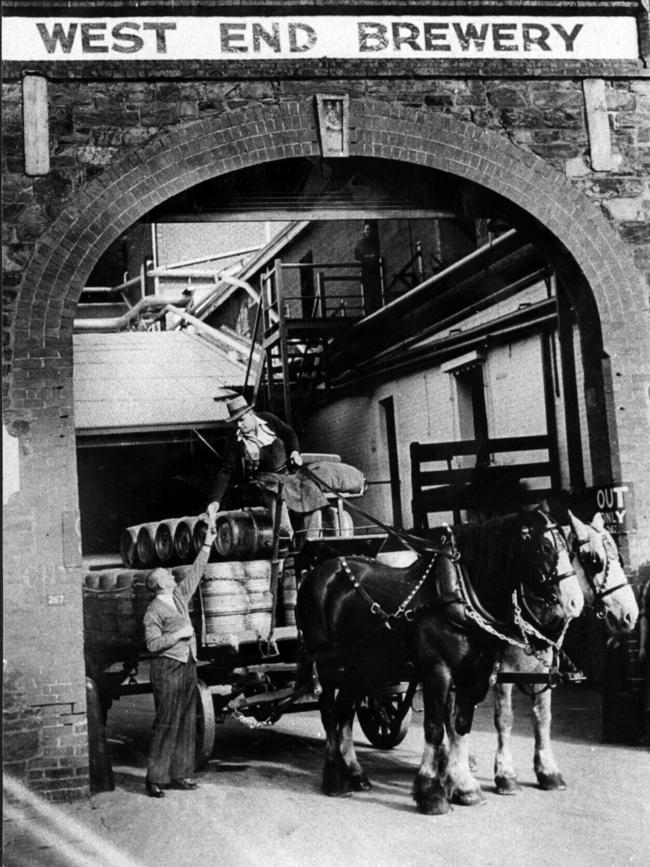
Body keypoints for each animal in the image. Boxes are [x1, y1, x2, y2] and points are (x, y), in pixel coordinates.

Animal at [296, 508, 580, 812]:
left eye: (569, 545)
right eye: (545, 547)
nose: (575, 603)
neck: (459, 595)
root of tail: (317, 571)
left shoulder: (474, 676)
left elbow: (460, 726)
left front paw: (465, 787)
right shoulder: (437, 672)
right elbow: (434, 729)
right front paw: (431, 792)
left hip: (359, 666)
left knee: (345, 713)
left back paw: (355, 773)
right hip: (327, 664)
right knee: (329, 713)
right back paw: (335, 778)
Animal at [492, 512, 636, 796]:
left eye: (619, 558)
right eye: (595, 561)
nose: (630, 614)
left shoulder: (542, 673)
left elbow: (542, 717)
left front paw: (548, 771)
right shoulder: (501, 673)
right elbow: (504, 719)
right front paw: (505, 775)